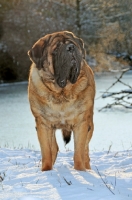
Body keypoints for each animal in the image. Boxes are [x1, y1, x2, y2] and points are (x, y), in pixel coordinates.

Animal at [27, 30, 95, 171]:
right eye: (56, 49)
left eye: (73, 44)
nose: (71, 48)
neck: (61, 93)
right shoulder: (43, 124)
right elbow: (47, 151)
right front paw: (46, 171)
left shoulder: (81, 122)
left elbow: (79, 151)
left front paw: (80, 170)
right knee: (54, 147)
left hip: (90, 123)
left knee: (85, 150)